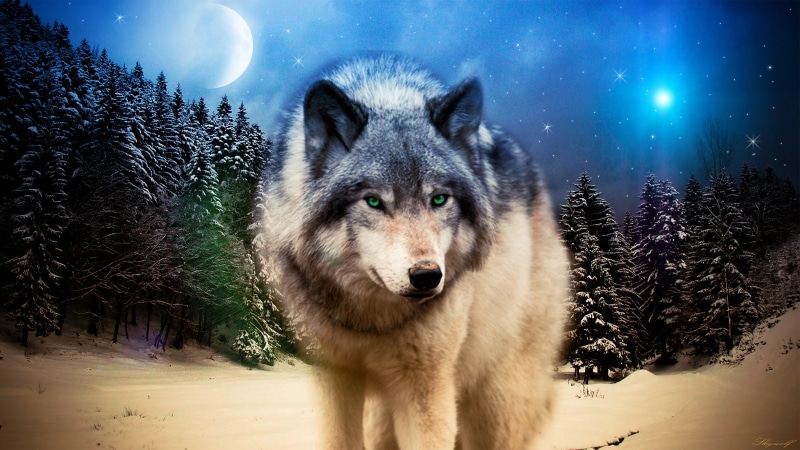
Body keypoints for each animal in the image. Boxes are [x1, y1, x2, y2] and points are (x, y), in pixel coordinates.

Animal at [259, 56, 568, 449]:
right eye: (374, 201)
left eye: (438, 199)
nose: (427, 276)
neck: (370, 322)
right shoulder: (333, 375)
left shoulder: (426, 385)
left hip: (496, 400)